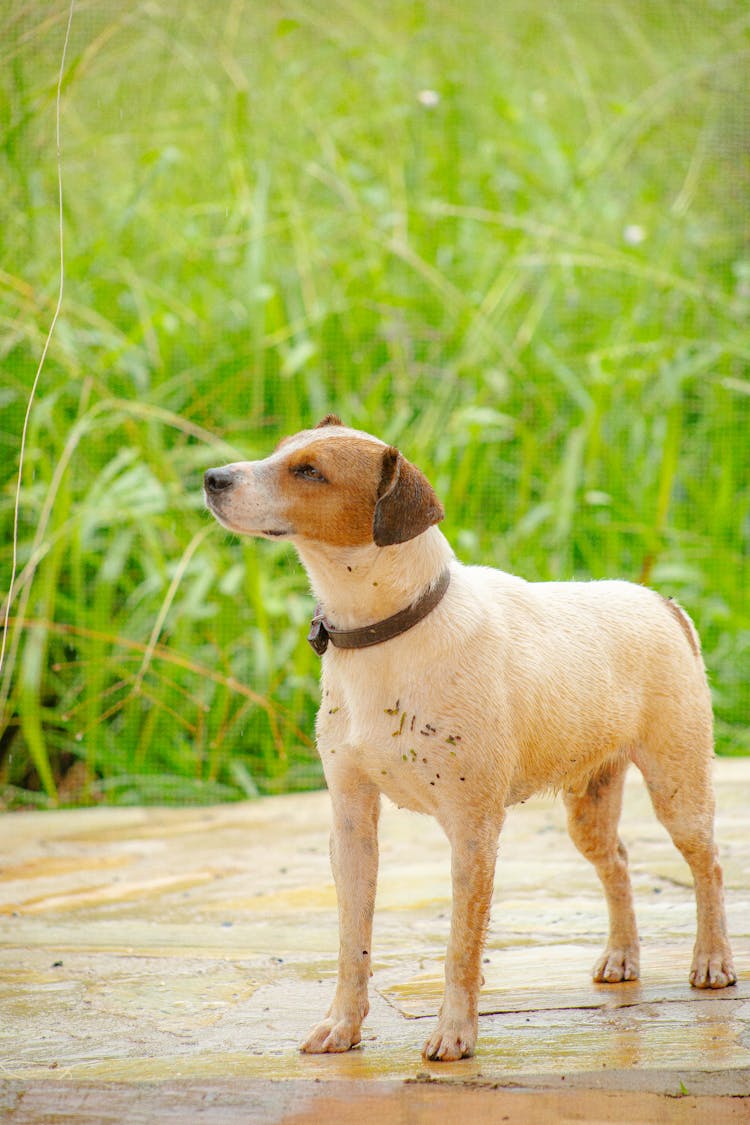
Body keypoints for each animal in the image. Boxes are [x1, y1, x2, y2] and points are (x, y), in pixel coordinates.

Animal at [203, 416, 733, 1062]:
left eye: (309, 471)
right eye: (279, 451)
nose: (211, 478)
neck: (390, 631)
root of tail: (661, 602)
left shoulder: (473, 831)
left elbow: (462, 946)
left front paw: (454, 1032)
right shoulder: (351, 827)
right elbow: (352, 941)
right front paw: (343, 1025)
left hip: (679, 788)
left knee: (708, 865)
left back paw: (712, 959)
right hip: (589, 804)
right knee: (619, 863)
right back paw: (622, 955)